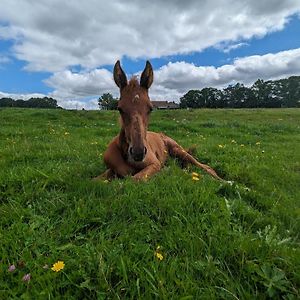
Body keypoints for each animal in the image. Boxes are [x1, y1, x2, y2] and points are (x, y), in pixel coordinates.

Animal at [95, 59, 224, 180]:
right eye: (120, 109)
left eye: (150, 108)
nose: (138, 153)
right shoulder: (111, 171)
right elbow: (96, 180)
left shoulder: (154, 164)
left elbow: (134, 180)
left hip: (179, 150)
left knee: (206, 167)